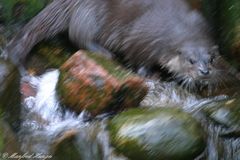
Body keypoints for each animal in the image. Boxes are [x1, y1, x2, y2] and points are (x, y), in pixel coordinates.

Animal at [1, 0, 219, 90]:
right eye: (190, 60)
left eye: (211, 59)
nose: (204, 72)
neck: (178, 25)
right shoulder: (141, 37)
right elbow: (138, 57)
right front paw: (148, 74)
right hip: (89, 14)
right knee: (78, 35)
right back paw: (104, 52)